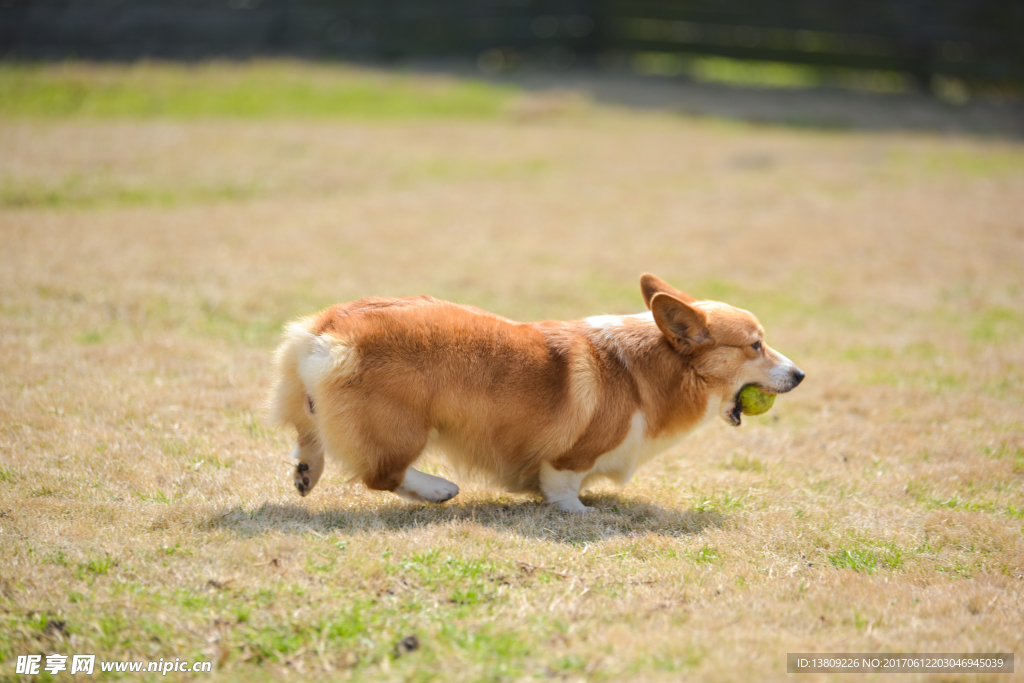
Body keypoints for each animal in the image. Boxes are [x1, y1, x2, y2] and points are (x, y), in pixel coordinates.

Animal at [268, 272, 802, 511]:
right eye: (755, 345)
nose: (799, 375)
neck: (652, 368)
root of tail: (326, 328)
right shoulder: (569, 458)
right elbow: (562, 486)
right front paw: (579, 512)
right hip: (403, 425)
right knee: (381, 473)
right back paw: (439, 490)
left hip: (310, 401)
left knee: (308, 435)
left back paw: (305, 473)